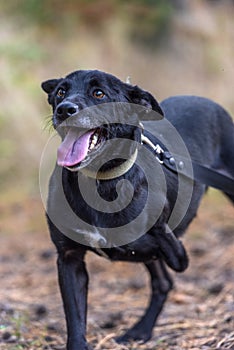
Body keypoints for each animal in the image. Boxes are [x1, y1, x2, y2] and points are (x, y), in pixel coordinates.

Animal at [41, 69, 233, 348]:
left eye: (99, 93)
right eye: (60, 92)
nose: (65, 109)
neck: (99, 181)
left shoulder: (167, 245)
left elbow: (173, 253)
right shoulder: (69, 258)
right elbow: (75, 319)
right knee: (163, 283)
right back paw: (141, 330)